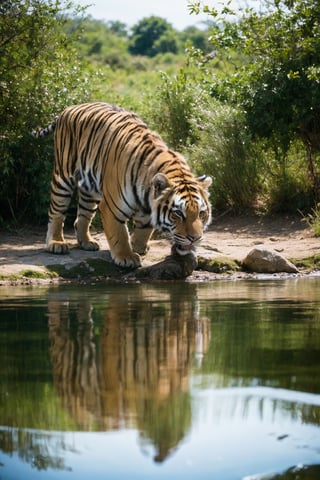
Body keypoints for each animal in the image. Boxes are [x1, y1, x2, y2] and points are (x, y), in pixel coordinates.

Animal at [33, 101, 212, 268]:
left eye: (201, 213)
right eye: (178, 214)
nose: (195, 239)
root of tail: (70, 108)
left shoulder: (147, 210)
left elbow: (144, 230)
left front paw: (138, 247)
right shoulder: (112, 207)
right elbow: (119, 234)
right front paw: (127, 257)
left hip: (90, 190)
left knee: (83, 215)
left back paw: (87, 242)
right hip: (63, 176)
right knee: (57, 211)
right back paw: (56, 243)